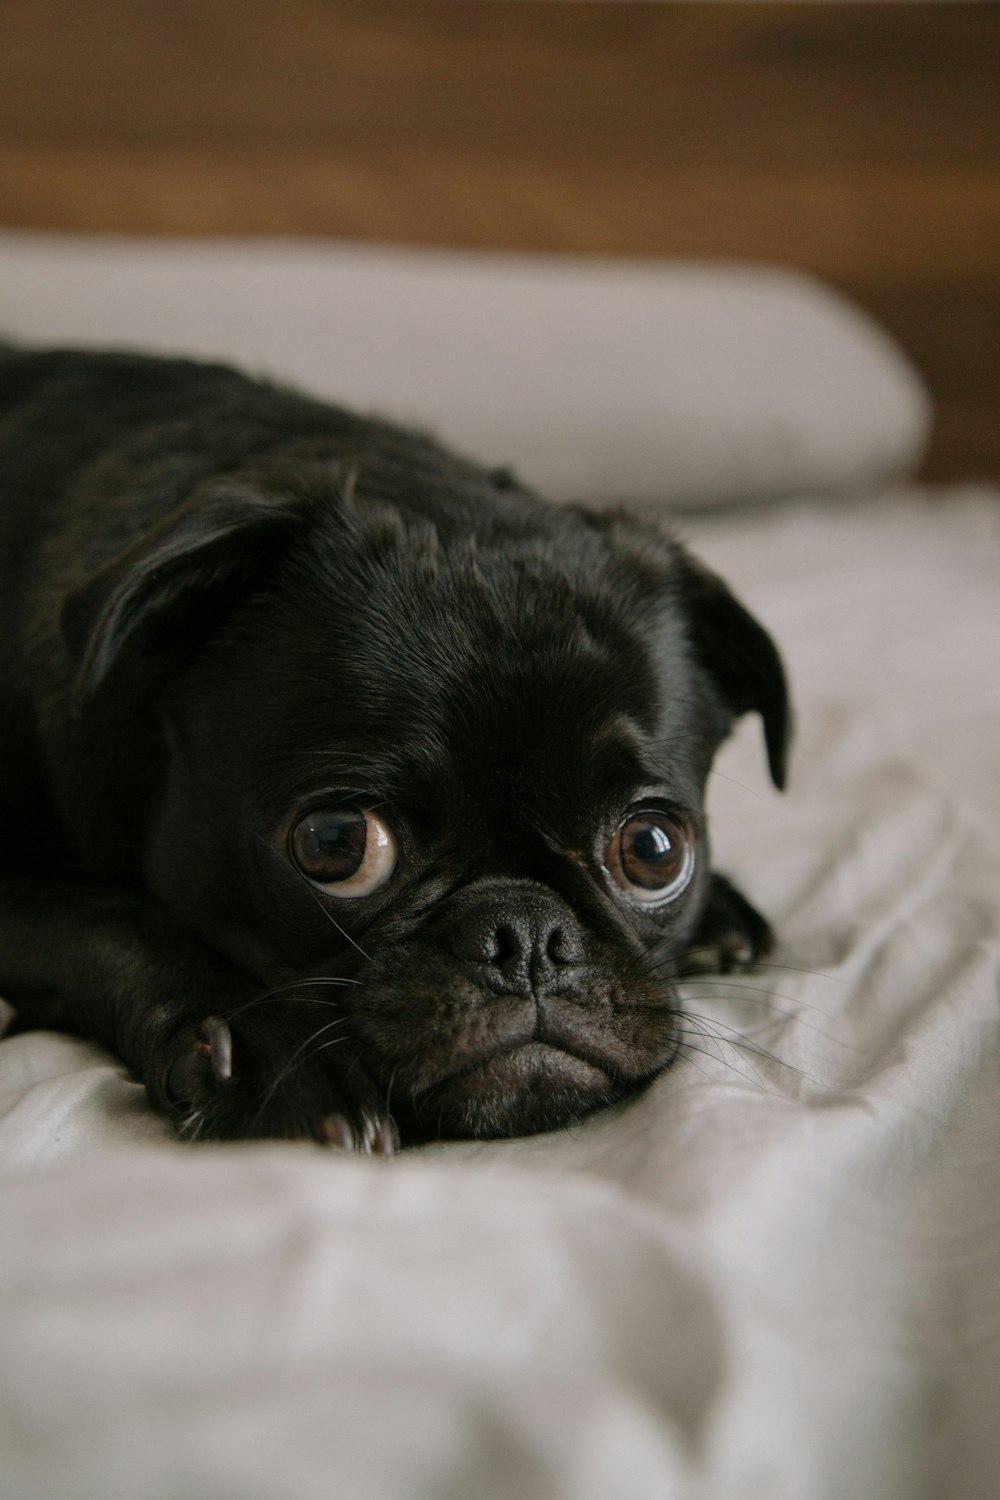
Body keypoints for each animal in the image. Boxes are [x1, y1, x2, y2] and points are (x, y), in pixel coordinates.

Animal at [0, 345, 791, 1152]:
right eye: (336, 843)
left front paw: (721, 912)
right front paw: (267, 1055)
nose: (527, 937)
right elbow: (111, 918)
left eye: (654, 849)